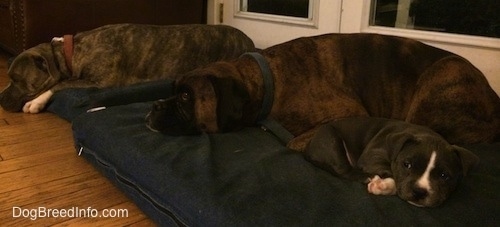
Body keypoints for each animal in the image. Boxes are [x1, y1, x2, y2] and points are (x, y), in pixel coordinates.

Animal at [0, 23, 256, 113]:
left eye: (18, 80)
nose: (0, 99)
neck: (71, 53)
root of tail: (250, 42)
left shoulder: (102, 81)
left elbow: (61, 84)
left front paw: (36, 101)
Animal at [146, 33, 500, 151]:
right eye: (174, 90)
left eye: (187, 96)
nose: (154, 106)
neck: (268, 80)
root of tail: (492, 96)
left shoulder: (348, 114)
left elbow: (293, 143)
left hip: (442, 75)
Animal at [304, 117, 480, 207]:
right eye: (406, 165)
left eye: (444, 176)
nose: (419, 191)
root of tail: (308, 147)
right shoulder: (373, 155)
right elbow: (393, 174)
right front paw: (384, 185)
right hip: (330, 138)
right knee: (344, 170)